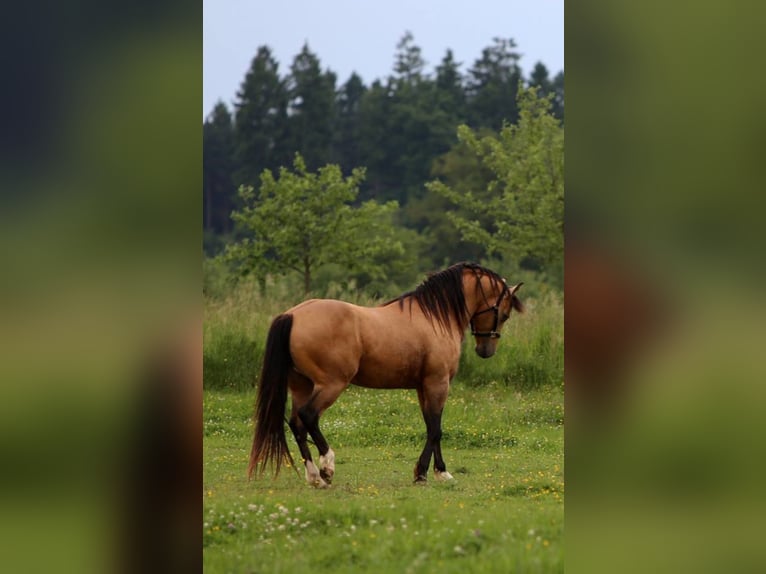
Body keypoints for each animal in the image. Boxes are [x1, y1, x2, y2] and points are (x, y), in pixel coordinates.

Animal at [247, 262, 523, 487]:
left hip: (301, 386)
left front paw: (434, 471)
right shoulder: (438, 383)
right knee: (308, 416)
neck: (434, 318)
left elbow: (430, 425)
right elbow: (436, 429)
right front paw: (428, 473)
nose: (485, 350)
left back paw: (315, 476)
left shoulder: (422, 387)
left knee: (297, 424)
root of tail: (293, 315)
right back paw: (327, 466)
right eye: (504, 313)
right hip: (331, 385)